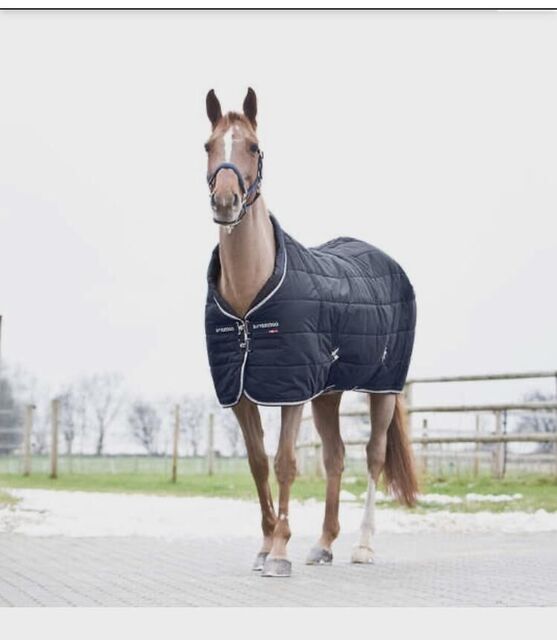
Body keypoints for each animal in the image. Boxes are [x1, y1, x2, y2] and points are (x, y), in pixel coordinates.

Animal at [203, 87, 418, 578]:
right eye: (208, 146)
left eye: (253, 147)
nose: (225, 202)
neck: (249, 302)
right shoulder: (241, 391)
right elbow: (257, 463)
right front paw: (265, 546)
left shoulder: (291, 390)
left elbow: (284, 463)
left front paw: (280, 553)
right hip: (329, 393)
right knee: (335, 457)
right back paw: (323, 545)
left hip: (382, 388)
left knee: (373, 455)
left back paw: (363, 546)